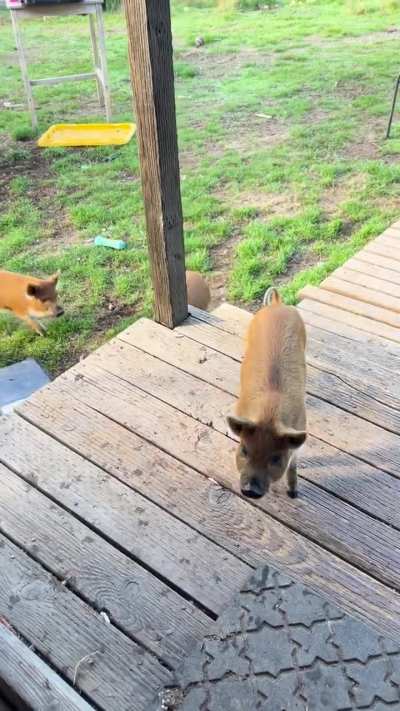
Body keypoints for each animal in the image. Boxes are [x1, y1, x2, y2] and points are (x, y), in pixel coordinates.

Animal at [227, 287, 307, 499]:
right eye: (244, 450)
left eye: (276, 458)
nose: (250, 490)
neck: (269, 414)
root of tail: (277, 304)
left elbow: (293, 465)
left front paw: (293, 494)